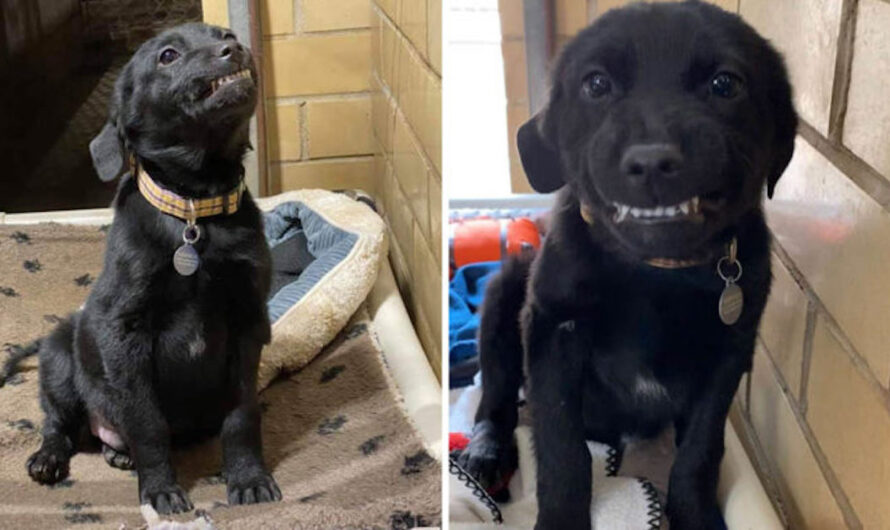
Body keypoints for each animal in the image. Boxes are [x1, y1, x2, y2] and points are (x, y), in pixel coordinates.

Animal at [24, 23, 280, 512]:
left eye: (224, 33)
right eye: (168, 56)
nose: (234, 47)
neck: (196, 209)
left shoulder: (248, 323)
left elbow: (242, 415)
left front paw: (248, 480)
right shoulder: (125, 334)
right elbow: (147, 424)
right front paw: (161, 491)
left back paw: (117, 454)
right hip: (59, 354)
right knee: (57, 423)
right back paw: (48, 459)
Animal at [454, 4, 796, 528]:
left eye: (725, 84)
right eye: (596, 84)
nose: (652, 162)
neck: (657, 270)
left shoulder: (729, 353)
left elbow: (700, 449)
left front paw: (694, 515)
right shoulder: (552, 330)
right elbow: (562, 446)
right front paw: (561, 519)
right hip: (505, 290)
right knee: (495, 397)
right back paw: (487, 452)